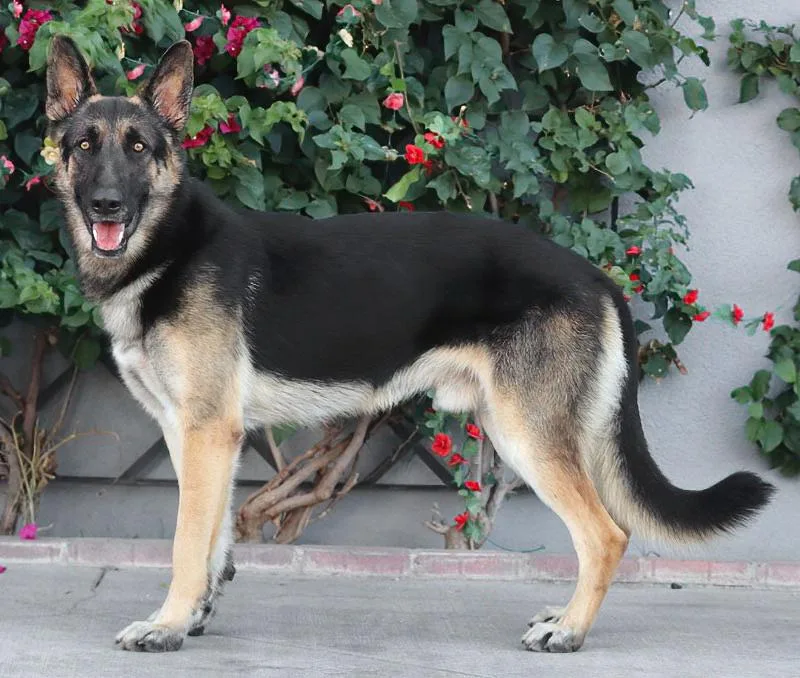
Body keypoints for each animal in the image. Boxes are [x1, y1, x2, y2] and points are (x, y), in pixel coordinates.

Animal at [45, 35, 774, 653]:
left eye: (139, 148)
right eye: (84, 145)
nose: (105, 205)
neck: (169, 247)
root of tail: (592, 272)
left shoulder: (203, 433)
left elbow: (183, 541)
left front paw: (165, 625)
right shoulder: (200, 437)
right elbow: (212, 541)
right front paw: (193, 618)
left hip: (525, 434)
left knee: (607, 535)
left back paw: (568, 631)